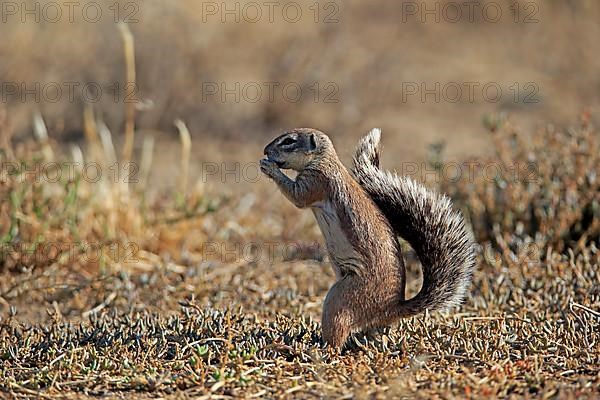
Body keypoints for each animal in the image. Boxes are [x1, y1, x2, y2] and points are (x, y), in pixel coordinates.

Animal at [260, 127, 476, 346]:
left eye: (289, 141)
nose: (265, 151)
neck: (324, 160)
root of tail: (392, 308)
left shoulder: (316, 181)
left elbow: (298, 196)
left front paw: (269, 167)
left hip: (340, 299)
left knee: (337, 334)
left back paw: (317, 347)